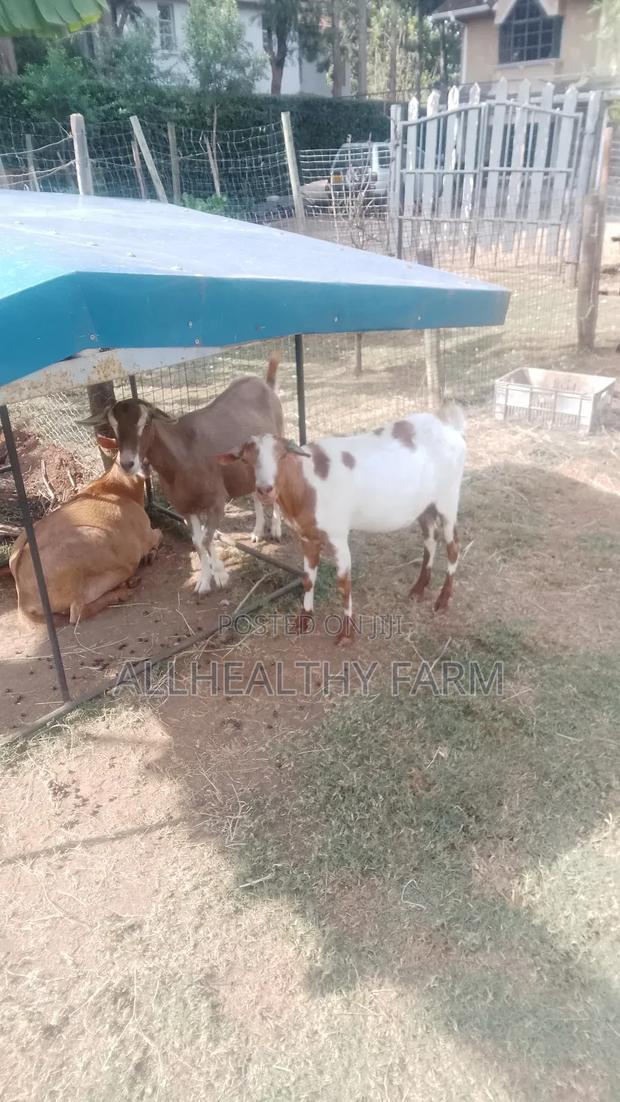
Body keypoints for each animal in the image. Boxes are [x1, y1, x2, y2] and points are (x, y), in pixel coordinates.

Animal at [10, 443, 161, 624]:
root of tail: (23, 600)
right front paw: (150, 554)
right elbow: (159, 534)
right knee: (77, 612)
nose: (144, 465)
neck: (118, 489)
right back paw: (122, 592)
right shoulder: (145, 534)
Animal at [80, 360, 283, 596]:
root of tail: (266, 384)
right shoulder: (185, 508)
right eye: (113, 427)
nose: (128, 463)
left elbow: (206, 539)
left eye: (146, 423)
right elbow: (198, 541)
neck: (182, 457)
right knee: (255, 493)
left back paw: (276, 529)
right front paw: (204, 581)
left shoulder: (216, 501)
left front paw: (221, 576)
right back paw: (257, 532)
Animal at [219, 404, 466, 644]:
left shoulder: (337, 536)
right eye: (246, 460)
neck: (307, 484)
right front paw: (304, 619)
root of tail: (449, 426)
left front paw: (347, 633)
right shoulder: (307, 536)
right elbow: (307, 579)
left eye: (282, 456)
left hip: (448, 496)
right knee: (430, 539)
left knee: (453, 547)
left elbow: (343, 583)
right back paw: (418, 589)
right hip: (425, 505)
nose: (265, 489)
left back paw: (443, 601)